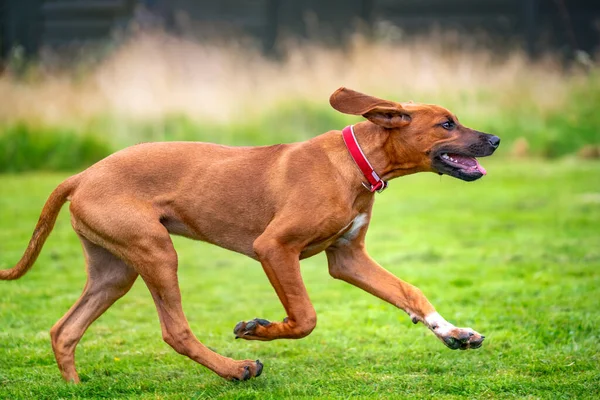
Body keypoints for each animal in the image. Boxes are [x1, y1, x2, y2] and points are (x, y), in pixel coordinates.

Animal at [0, 87, 500, 382]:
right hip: (157, 252)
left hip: (114, 271)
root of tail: (81, 175)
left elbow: (410, 292)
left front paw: (454, 333)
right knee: (174, 331)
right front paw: (257, 330)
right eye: (447, 124)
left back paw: (74, 387)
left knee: (65, 331)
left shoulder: (348, 258)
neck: (356, 162)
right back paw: (236, 367)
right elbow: (305, 318)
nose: (495, 140)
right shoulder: (274, 248)